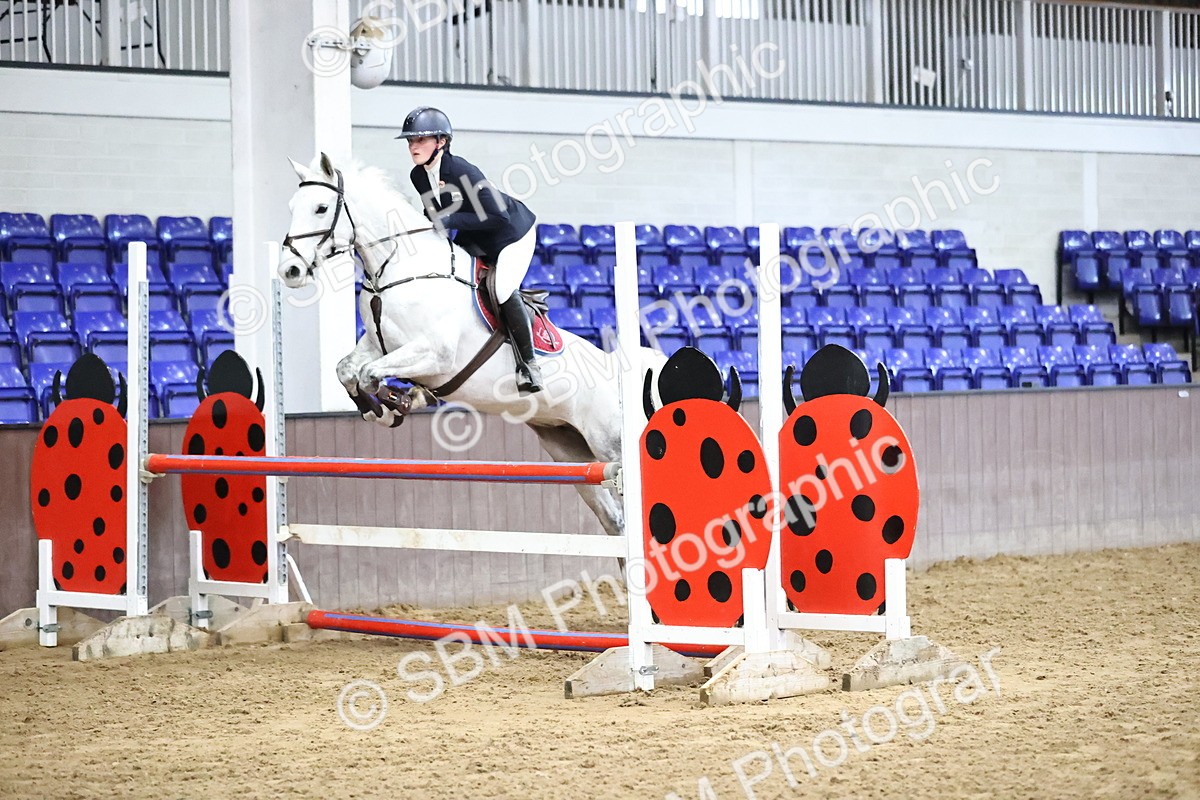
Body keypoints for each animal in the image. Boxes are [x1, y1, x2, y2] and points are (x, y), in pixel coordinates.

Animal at [276, 152, 665, 540]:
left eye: (321, 208)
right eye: (292, 206)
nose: (289, 271)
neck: (398, 268)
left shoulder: (436, 355)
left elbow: (370, 374)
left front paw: (398, 402)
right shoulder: (377, 344)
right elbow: (347, 370)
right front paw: (383, 408)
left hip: (611, 443)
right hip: (573, 454)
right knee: (615, 521)